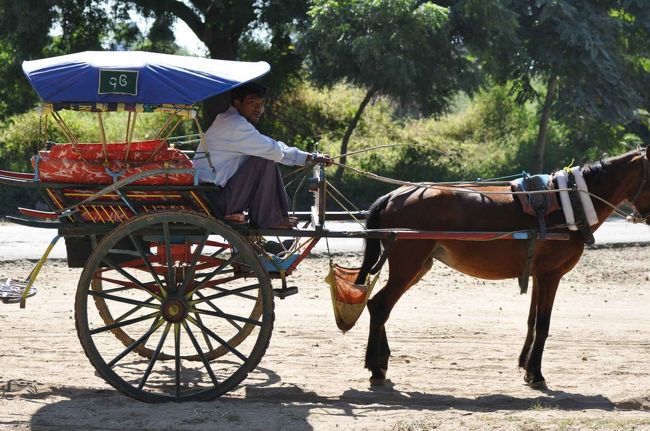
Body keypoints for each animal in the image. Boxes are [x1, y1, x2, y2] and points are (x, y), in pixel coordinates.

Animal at [355, 147, 650, 389]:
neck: (571, 204)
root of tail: (393, 195)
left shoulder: (538, 275)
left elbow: (532, 320)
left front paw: (525, 365)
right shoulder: (551, 275)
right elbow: (543, 324)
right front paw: (536, 374)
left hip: (418, 267)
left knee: (379, 306)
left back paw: (381, 360)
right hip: (408, 266)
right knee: (379, 307)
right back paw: (376, 368)